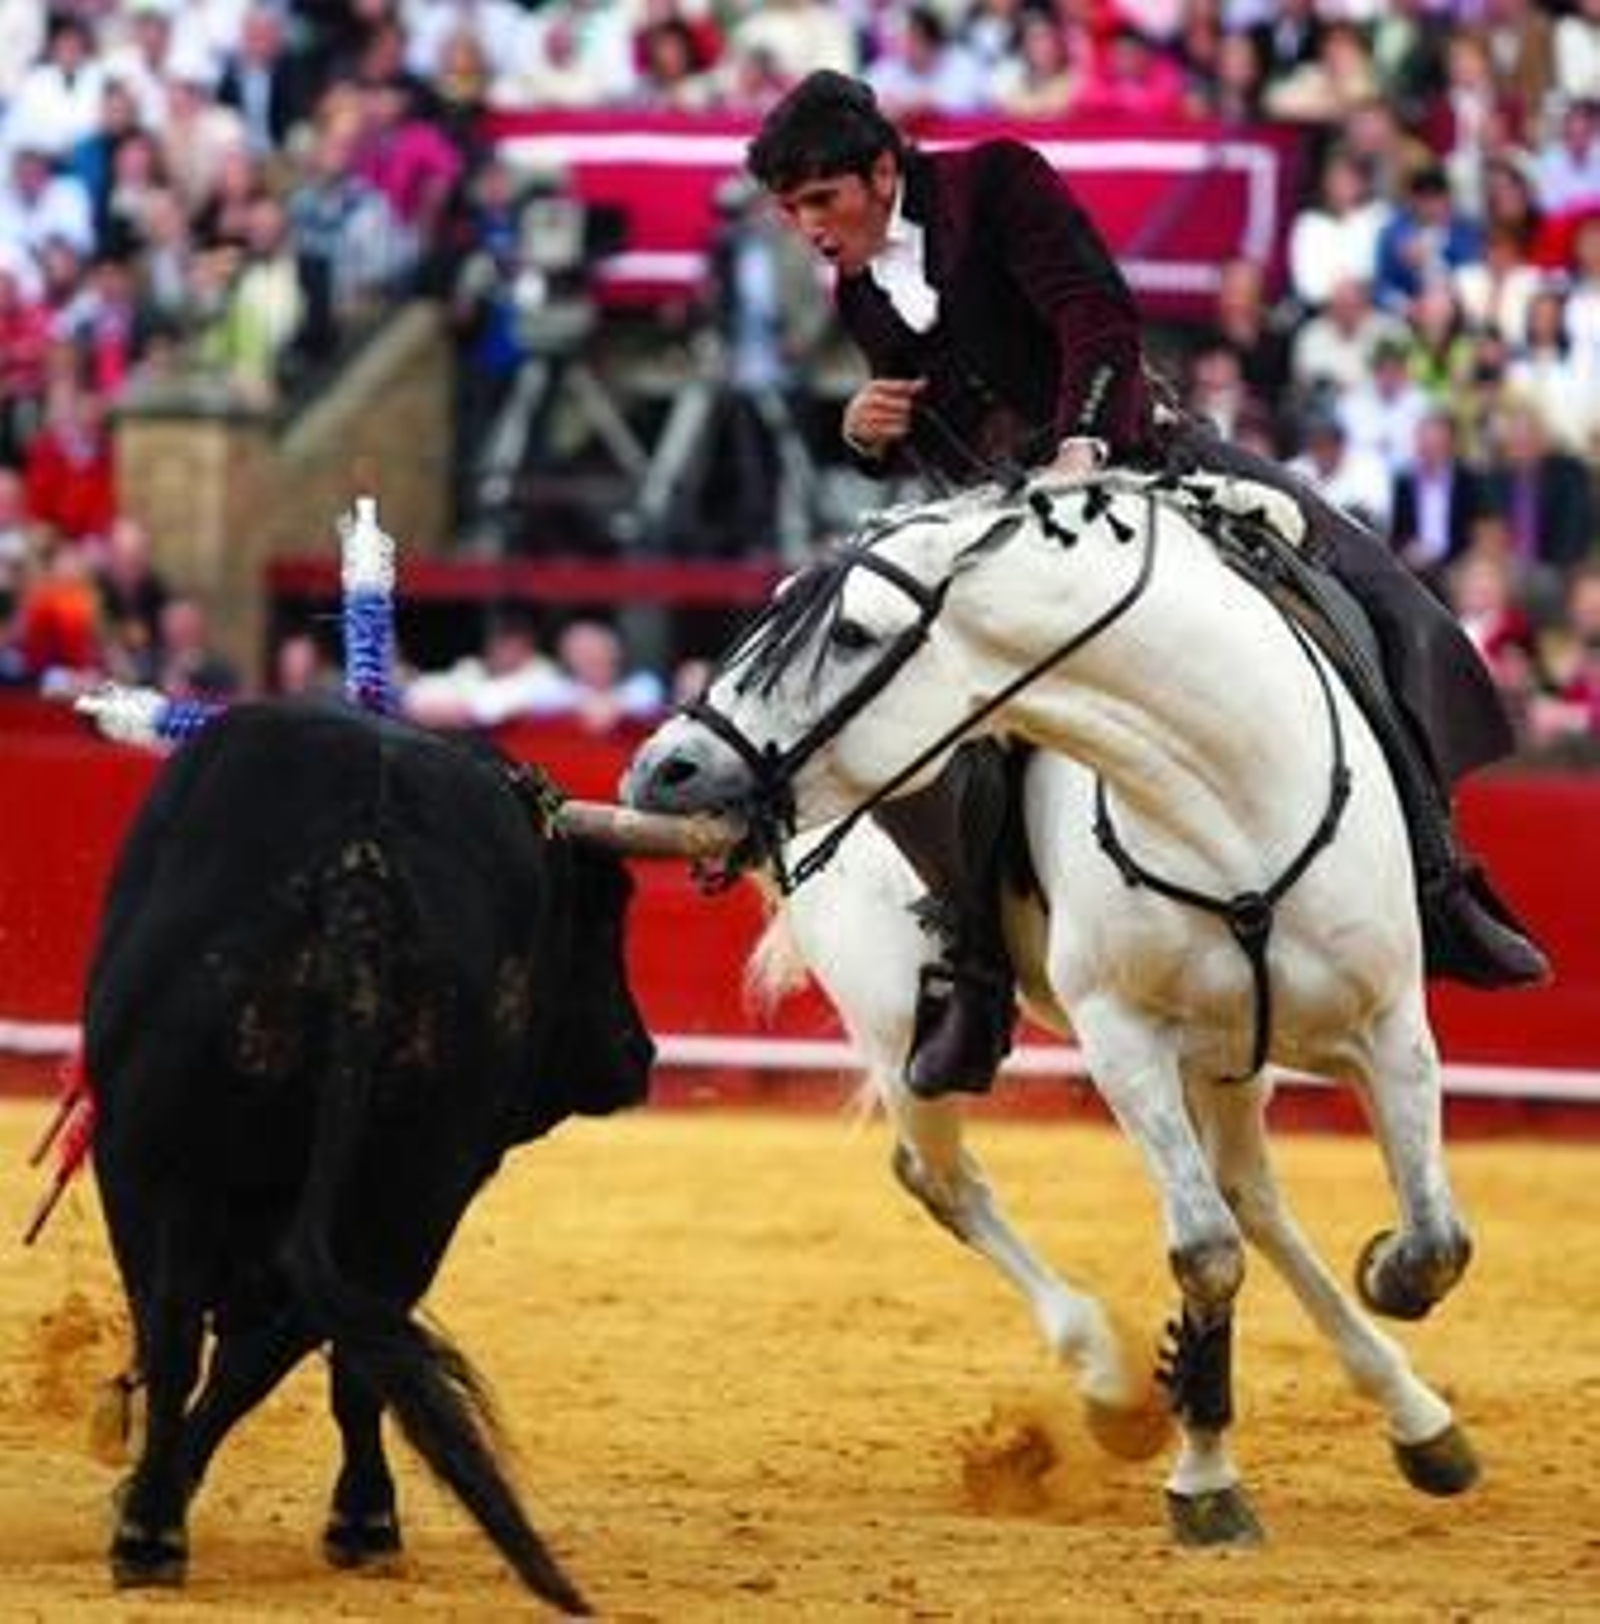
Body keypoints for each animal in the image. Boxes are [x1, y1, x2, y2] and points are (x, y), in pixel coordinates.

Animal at [625, 469, 1482, 1545]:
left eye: (855, 633)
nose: (662, 769)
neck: (1225, 795)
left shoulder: (1390, 1024)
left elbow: (1429, 1245)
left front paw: (1371, 1292)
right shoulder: (1124, 1040)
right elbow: (1204, 1251)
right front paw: (1203, 1478)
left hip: (1232, 1052)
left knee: (1251, 1195)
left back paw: (1415, 1415)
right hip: (899, 1027)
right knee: (945, 1177)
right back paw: (1113, 1384)